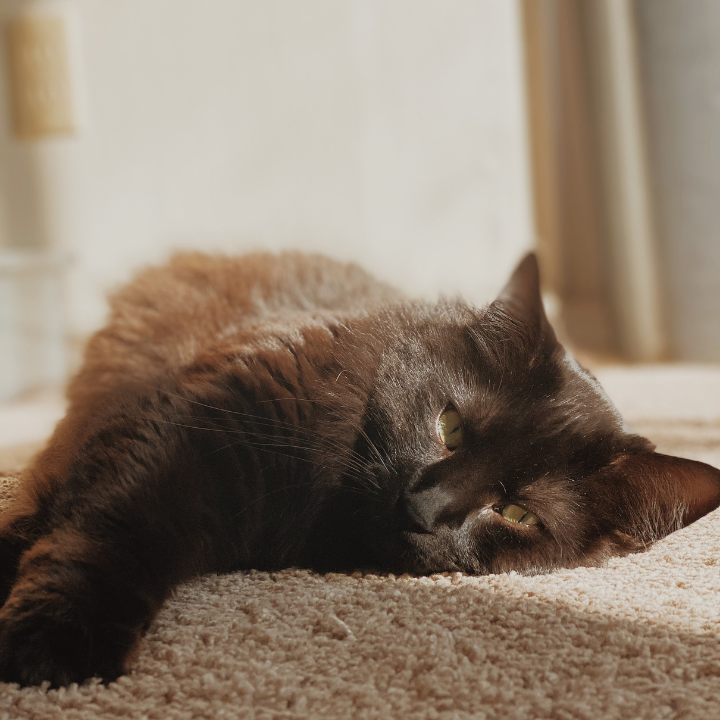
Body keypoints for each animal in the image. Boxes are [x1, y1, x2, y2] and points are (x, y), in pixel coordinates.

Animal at [1, 252, 720, 688]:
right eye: (450, 427)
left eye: (517, 513)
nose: (425, 505)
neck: (322, 515)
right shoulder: (187, 432)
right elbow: (113, 529)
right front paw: (57, 634)